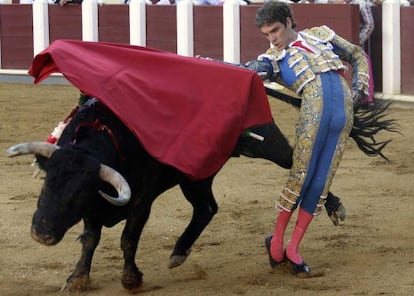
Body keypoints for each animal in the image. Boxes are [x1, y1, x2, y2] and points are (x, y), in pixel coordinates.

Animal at [5, 95, 394, 292]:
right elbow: (90, 239)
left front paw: (131, 279)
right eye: (47, 182)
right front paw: (77, 278)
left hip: (266, 143)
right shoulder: (97, 209)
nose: (40, 233)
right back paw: (179, 251)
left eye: (79, 191)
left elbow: (128, 238)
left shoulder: (140, 200)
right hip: (196, 177)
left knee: (298, 162)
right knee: (207, 207)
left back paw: (334, 207)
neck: (110, 136)